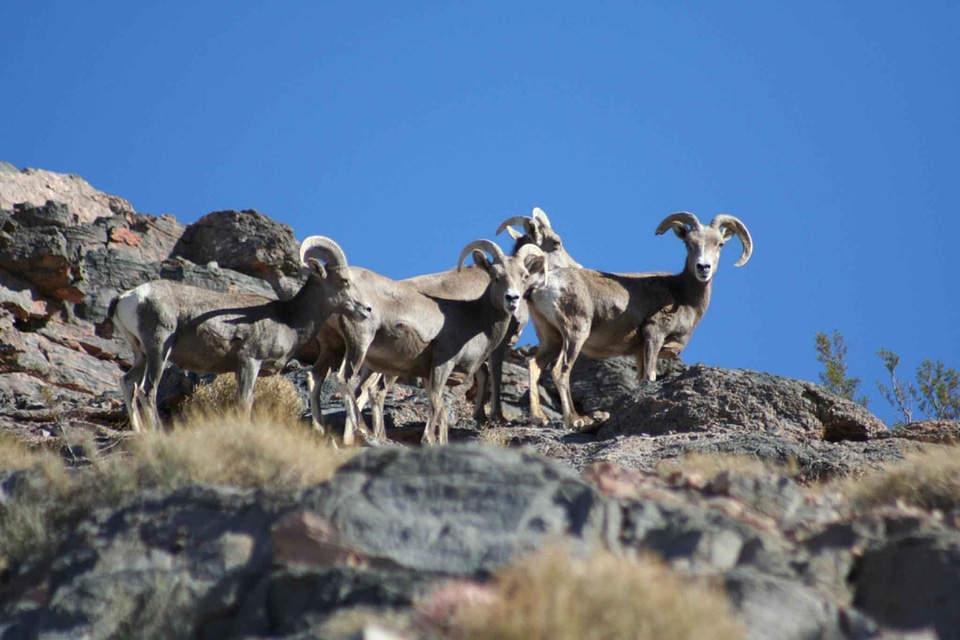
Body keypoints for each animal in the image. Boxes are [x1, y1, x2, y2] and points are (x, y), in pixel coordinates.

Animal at [107, 235, 370, 430]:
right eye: (344, 281)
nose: (367, 309)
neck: (288, 319)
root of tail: (128, 297)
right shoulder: (249, 361)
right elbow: (245, 402)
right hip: (158, 350)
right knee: (147, 390)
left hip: (141, 354)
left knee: (128, 384)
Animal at [310, 240, 544, 444]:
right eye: (495, 277)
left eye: (523, 276)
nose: (512, 299)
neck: (473, 318)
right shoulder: (442, 364)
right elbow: (437, 402)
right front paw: (429, 440)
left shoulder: (427, 373)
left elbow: (441, 409)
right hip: (362, 348)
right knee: (357, 385)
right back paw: (367, 434)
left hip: (335, 348)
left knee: (320, 378)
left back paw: (327, 432)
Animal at [524, 214, 752, 430]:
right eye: (688, 243)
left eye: (719, 244)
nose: (703, 267)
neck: (683, 294)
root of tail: (541, 286)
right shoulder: (654, 335)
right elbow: (650, 375)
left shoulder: (638, 351)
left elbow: (642, 377)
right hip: (575, 334)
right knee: (560, 371)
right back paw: (575, 420)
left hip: (552, 338)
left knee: (534, 364)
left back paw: (539, 418)